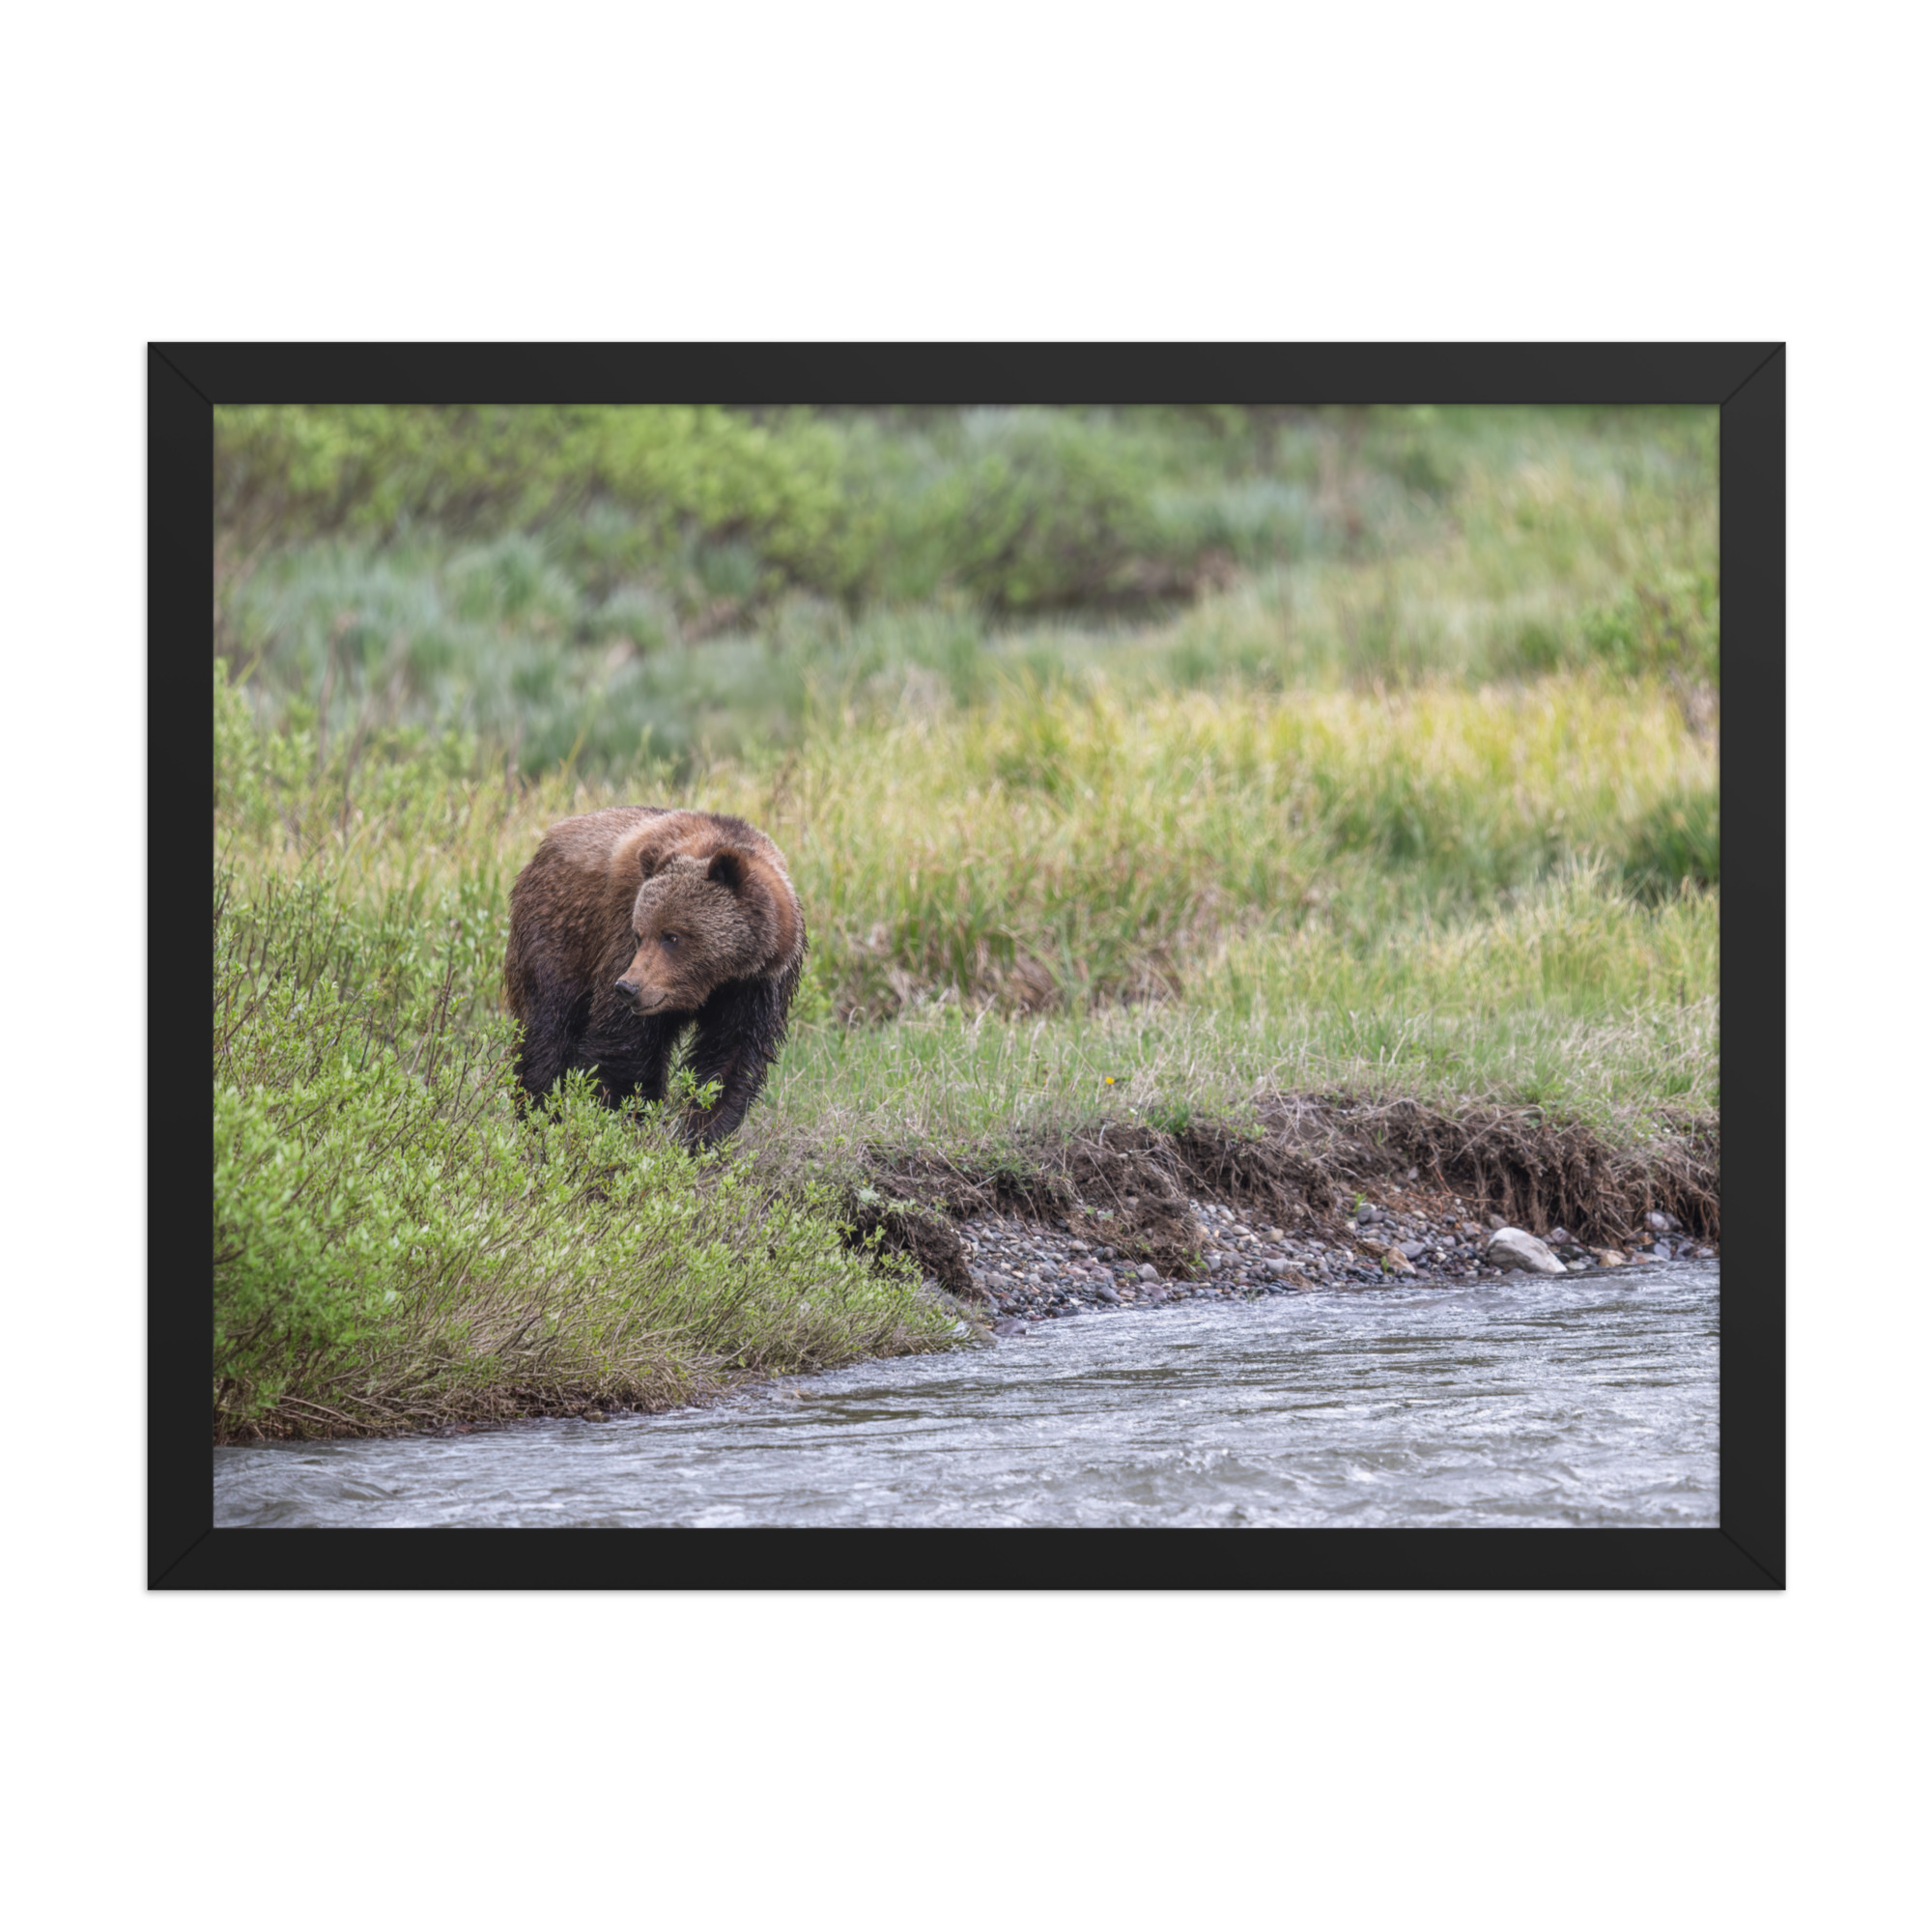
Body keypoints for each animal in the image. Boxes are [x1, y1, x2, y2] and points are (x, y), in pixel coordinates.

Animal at [503, 806, 806, 1145]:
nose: (628, 987)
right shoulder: (621, 940)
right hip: (560, 934)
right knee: (548, 1030)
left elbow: (730, 1060)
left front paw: (701, 1135)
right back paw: (539, 1117)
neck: (717, 979)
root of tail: (546, 843)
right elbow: (625, 1047)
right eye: (640, 934)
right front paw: (621, 1121)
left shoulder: (757, 987)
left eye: (672, 936)